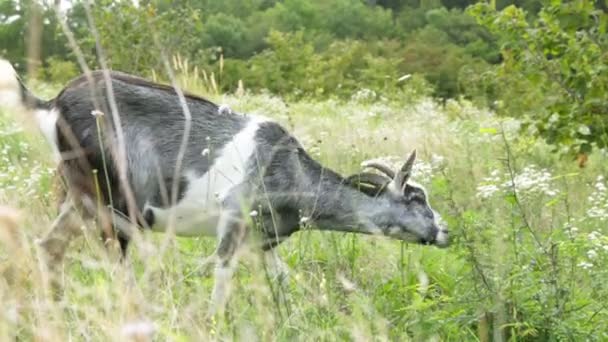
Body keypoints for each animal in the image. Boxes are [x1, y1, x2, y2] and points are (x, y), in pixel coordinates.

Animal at [0, 58, 446, 312]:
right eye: (416, 198)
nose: (445, 232)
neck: (289, 171)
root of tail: (54, 103)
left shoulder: (265, 239)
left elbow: (280, 281)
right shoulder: (233, 219)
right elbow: (221, 277)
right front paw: (216, 321)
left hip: (78, 198)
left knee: (50, 246)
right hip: (114, 202)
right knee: (115, 261)